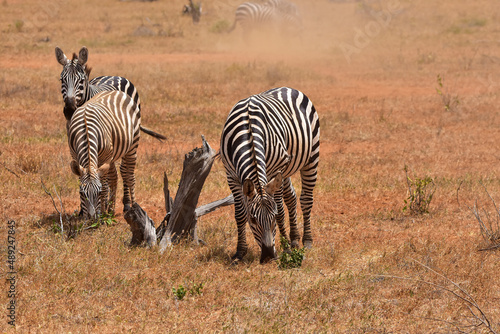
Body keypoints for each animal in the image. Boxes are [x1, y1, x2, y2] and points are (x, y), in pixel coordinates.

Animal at [67, 90, 142, 219]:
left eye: (99, 192)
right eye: (81, 193)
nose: (91, 218)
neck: (86, 132)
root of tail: (117, 91)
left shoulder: (103, 159)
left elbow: (104, 185)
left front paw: (101, 213)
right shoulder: (75, 156)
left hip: (132, 146)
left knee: (129, 177)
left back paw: (133, 206)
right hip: (111, 156)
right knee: (115, 177)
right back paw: (111, 209)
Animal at [220, 86, 320, 264]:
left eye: (273, 218)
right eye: (253, 219)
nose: (268, 256)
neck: (249, 131)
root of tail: (287, 87)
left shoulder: (275, 169)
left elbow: (280, 209)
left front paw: (285, 248)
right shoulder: (231, 175)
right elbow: (239, 214)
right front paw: (239, 252)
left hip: (311, 155)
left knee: (306, 199)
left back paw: (307, 241)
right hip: (285, 170)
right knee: (291, 197)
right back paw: (294, 239)